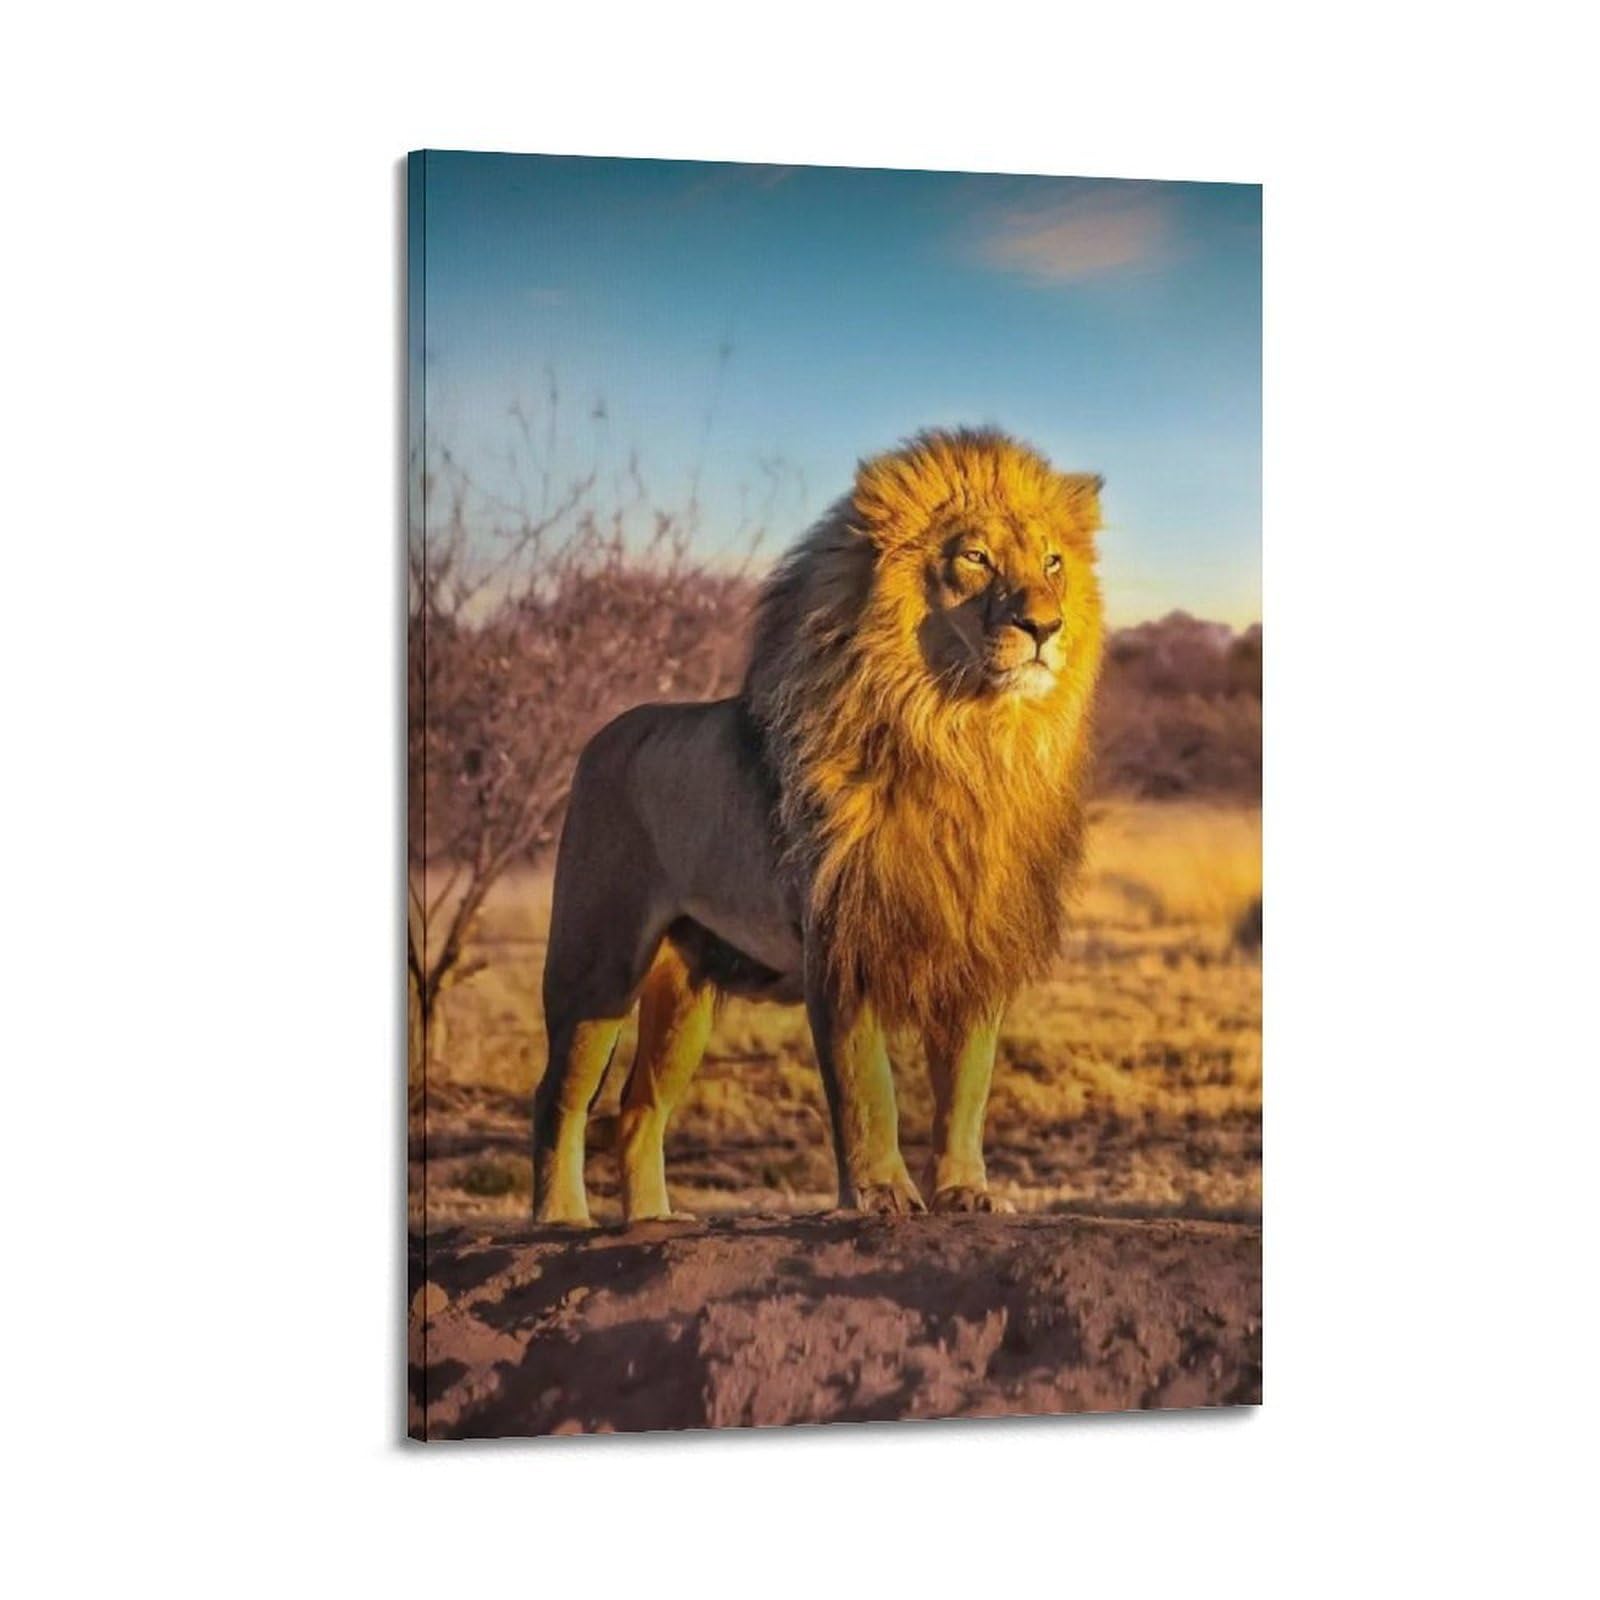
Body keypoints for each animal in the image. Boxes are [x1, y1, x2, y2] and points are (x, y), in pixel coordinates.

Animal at [532, 427, 1105, 1225]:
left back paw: (652, 1223)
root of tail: (604, 733)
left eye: (1053, 562)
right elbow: (868, 1089)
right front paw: (882, 1195)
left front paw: (966, 1193)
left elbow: (967, 1086)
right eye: (975, 557)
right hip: (598, 963)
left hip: (685, 992)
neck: (964, 740)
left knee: (639, 1109)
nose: (1046, 626)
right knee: (559, 1097)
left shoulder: (974, 944)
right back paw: (561, 1219)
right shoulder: (841, 941)